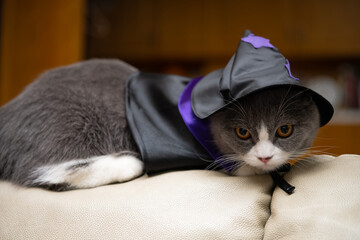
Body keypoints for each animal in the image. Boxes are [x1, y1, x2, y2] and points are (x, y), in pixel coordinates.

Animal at [0, 59, 320, 190]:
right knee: (40, 168)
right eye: (242, 133)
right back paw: (127, 162)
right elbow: (235, 163)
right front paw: (258, 166)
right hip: (72, 119)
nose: (266, 156)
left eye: (285, 130)